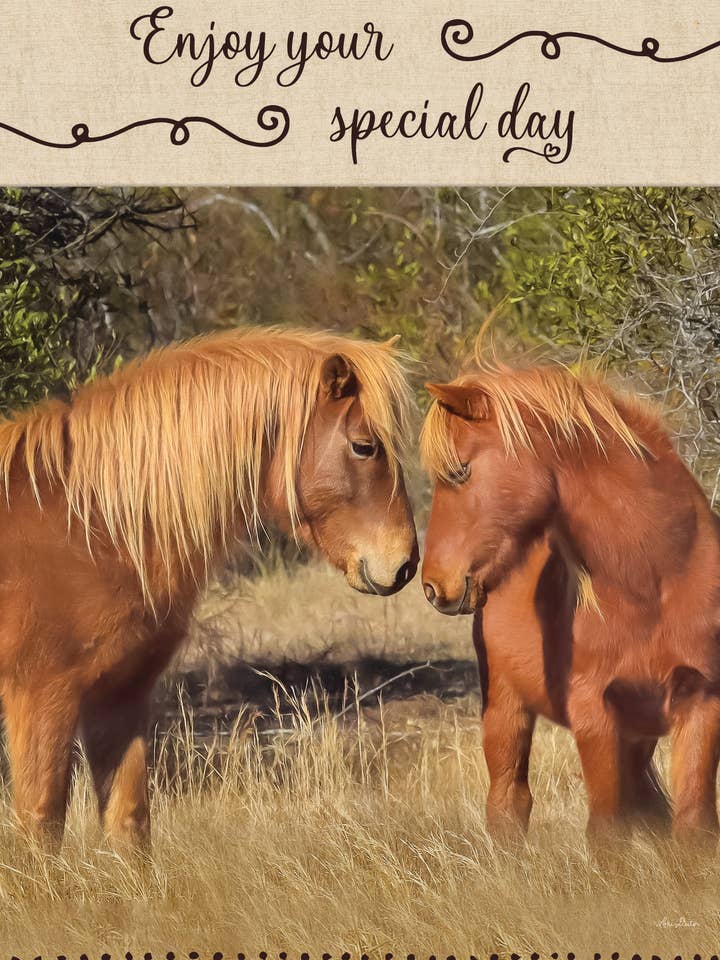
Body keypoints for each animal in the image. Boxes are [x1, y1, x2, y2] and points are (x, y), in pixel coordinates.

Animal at [0, 326, 418, 849]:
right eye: (364, 446)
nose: (405, 563)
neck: (86, 524)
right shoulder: (40, 696)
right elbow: (42, 825)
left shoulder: (120, 695)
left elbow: (130, 823)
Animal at [419, 361, 720, 840]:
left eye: (461, 471)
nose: (433, 586)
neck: (657, 582)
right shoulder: (594, 713)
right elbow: (608, 831)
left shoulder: (701, 702)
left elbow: (694, 827)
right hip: (505, 709)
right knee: (508, 803)